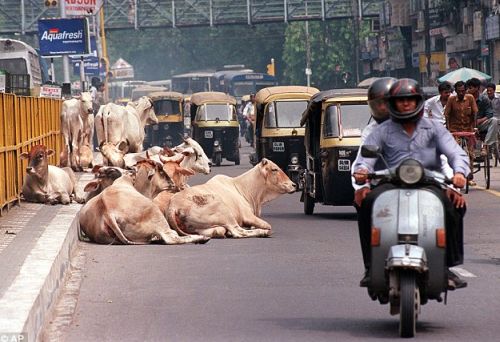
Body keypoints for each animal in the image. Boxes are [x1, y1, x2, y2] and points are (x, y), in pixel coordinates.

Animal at [166, 158, 294, 236]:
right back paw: (262, 232)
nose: (294, 185)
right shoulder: (248, 216)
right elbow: (267, 225)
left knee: (218, 231)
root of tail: (173, 207)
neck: (243, 188)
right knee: (238, 232)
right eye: (274, 169)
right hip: (224, 212)